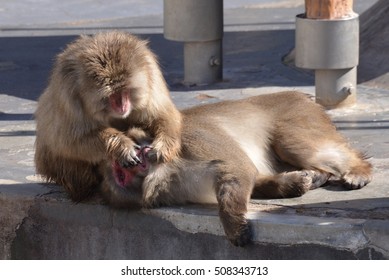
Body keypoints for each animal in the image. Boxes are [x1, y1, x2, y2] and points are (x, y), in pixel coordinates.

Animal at [100, 91, 370, 246]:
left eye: (126, 163)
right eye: (122, 173)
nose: (141, 156)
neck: (168, 170)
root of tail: (303, 96)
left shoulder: (189, 139)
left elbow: (239, 167)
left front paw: (232, 223)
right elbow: (251, 175)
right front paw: (292, 184)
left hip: (298, 116)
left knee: (297, 145)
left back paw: (358, 169)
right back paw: (318, 175)